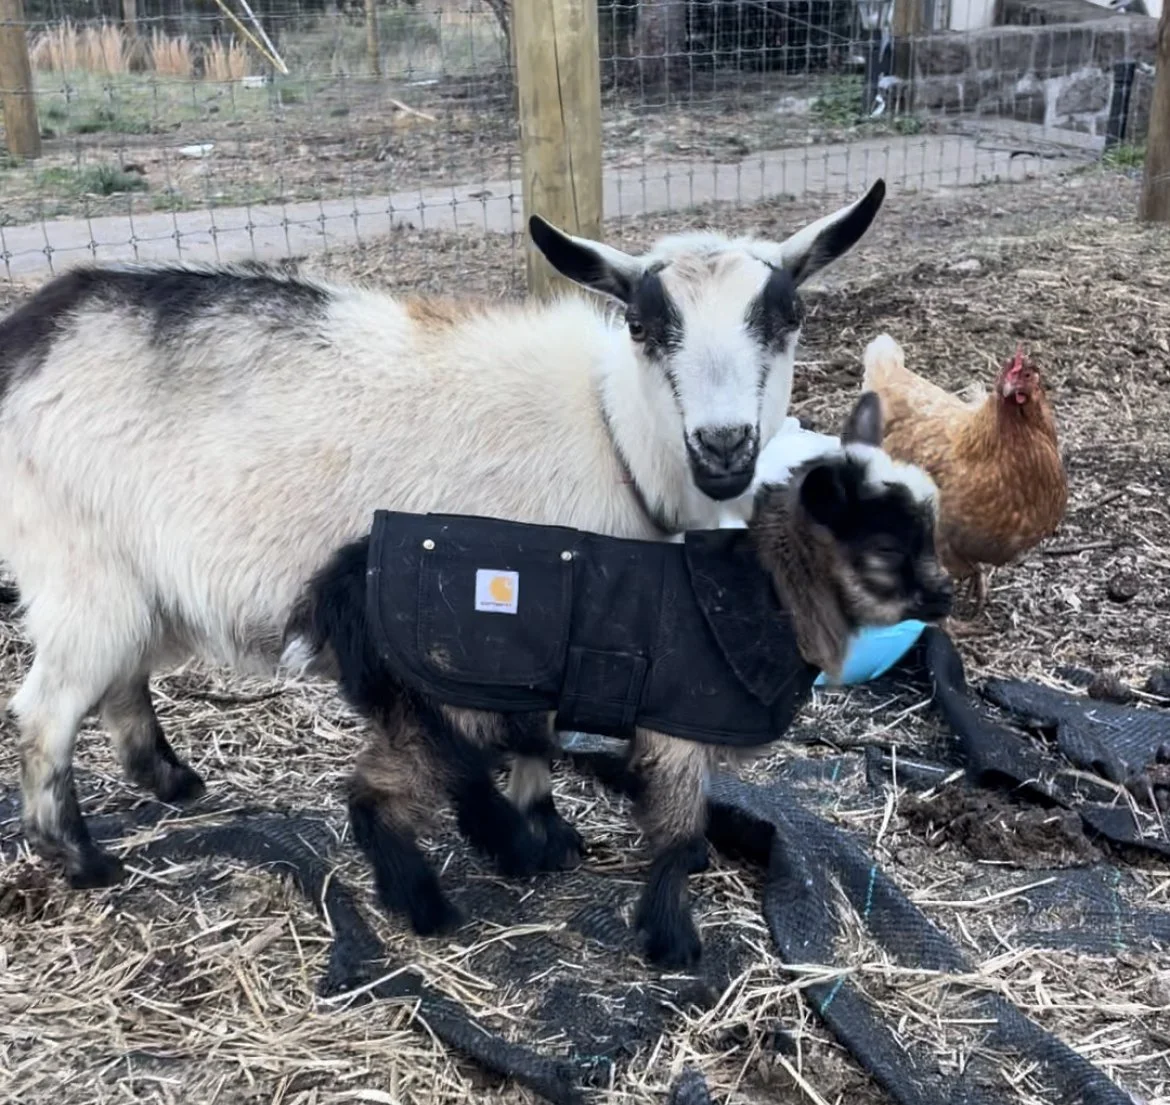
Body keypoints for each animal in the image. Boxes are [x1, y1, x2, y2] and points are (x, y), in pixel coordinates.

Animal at [0, 180, 885, 894]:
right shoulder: (513, 619)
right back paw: (81, 858)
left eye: (789, 316)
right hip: (78, 570)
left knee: (119, 683)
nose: (724, 446)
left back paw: (173, 782)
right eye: (642, 324)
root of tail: (30, 333)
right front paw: (536, 837)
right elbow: (531, 734)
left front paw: (542, 835)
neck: (612, 432)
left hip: (126, 581)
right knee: (46, 711)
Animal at [281, 391, 954, 968]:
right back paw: (429, 904)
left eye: (930, 532)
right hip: (442, 694)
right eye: (887, 550)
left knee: (463, 774)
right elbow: (677, 834)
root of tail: (342, 581)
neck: (769, 595)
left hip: (448, 702)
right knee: (384, 795)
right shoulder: (678, 732)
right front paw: (673, 939)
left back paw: (520, 848)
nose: (945, 596)